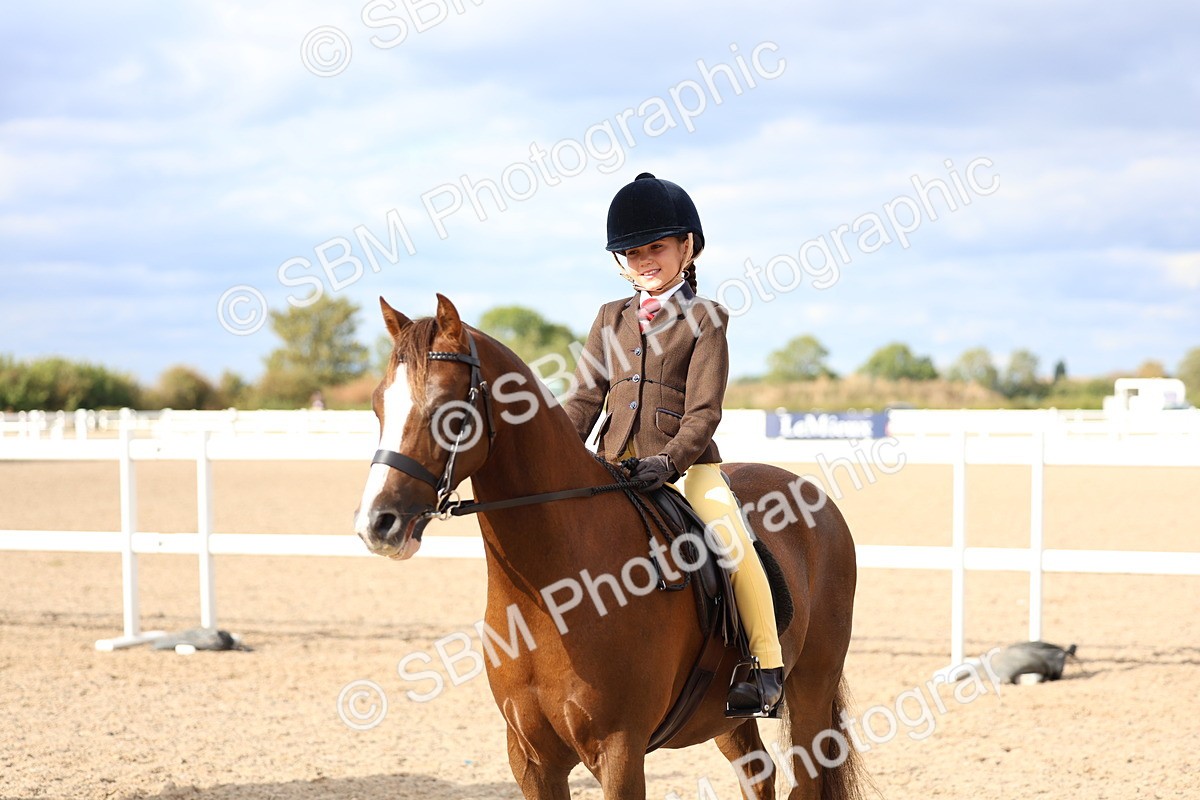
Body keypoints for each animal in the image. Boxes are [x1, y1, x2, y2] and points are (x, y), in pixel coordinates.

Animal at [354, 294, 864, 800]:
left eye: (449, 411)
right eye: (378, 405)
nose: (378, 523)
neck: (550, 595)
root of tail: (811, 492)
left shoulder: (618, 751)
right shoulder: (530, 759)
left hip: (812, 688)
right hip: (723, 716)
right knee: (758, 773)